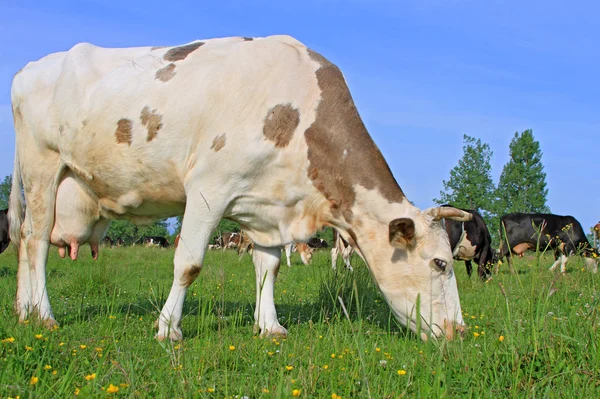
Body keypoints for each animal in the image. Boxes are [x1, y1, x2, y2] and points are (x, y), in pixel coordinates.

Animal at [7, 36, 472, 340]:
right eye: (439, 264)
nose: (461, 331)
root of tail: (30, 68)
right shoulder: (209, 188)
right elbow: (189, 264)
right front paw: (168, 329)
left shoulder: (267, 206)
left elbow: (270, 267)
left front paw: (270, 326)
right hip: (42, 165)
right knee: (36, 240)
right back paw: (43, 314)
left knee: (25, 240)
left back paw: (22, 311)